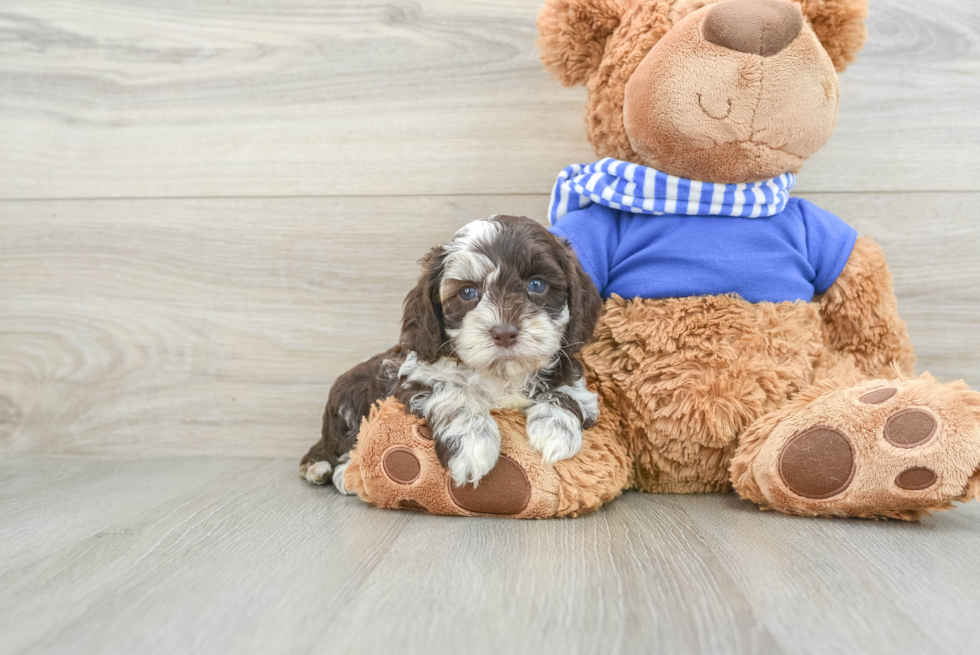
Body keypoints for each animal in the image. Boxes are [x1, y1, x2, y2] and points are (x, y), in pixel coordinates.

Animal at [302, 215, 600, 492]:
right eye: (467, 292)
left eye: (537, 285)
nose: (504, 332)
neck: (500, 375)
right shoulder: (417, 374)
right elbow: (456, 395)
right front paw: (473, 445)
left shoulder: (570, 373)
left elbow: (568, 391)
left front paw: (556, 431)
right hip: (349, 398)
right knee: (342, 443)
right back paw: (334, 471)